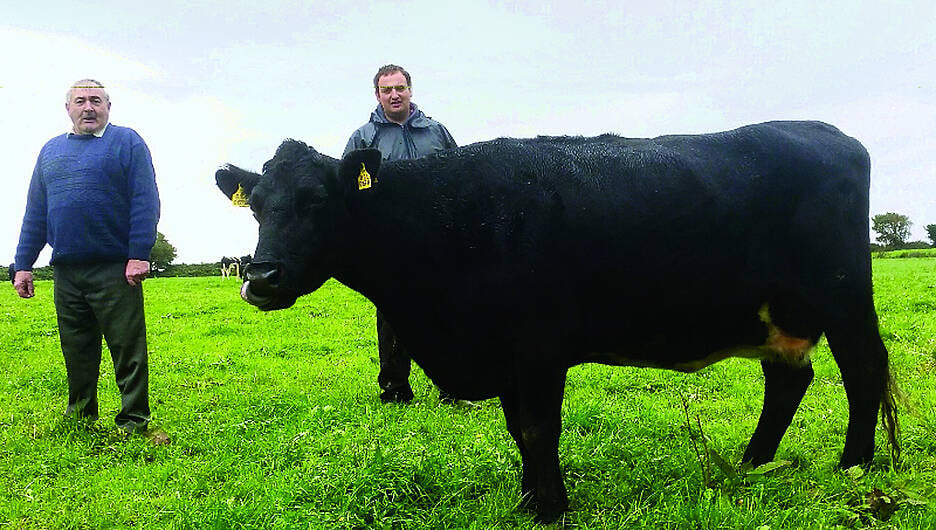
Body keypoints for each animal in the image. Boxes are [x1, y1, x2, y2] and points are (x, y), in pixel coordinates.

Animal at [216, 120, 896, 520]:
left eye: (317, 200)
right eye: (258, 208)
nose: (261, 278)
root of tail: (830, 134)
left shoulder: (539, 350)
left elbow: (540, 430)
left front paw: (550, 508)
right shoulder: (507, 357)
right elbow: (519, 432)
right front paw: (528, 499)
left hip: (842, 297)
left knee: (862, 370)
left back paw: (855, 466)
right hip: (775, 314)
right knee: (788, 379)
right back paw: (751, 463)